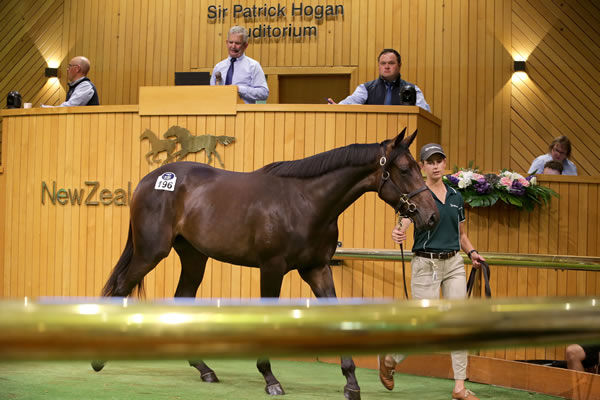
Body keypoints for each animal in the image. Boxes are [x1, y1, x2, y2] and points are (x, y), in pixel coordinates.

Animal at [91, 129, 438, 400]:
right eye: (403, 169)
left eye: (418, 168)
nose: (431, 215)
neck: (305, 202)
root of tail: (150, 180)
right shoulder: (272, 268)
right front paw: (270, 379)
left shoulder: (317, 269)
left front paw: (351, 383)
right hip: (151, 253)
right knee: (121, 288)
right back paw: (98, 360)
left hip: (193, 257)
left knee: (180, 299)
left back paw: (204, 369)